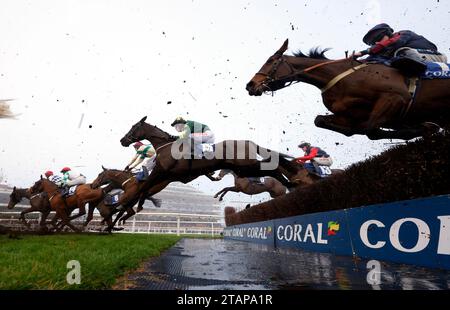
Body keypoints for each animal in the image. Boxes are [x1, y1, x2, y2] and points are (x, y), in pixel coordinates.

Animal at [121, 117, 300, 211]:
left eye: (134, 127)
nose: (123, 140)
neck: (166, 147)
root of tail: (249, 142)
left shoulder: (161, 171)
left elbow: (145, 186)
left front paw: (135, 205)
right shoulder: (167, 175)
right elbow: (146, 187)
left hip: (247, 166)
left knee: (273, 169)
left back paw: (291, 183)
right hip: (243, 169)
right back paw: (291, 183)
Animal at [246, 39, 450, 140]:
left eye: (270, 61)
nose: (250, 85)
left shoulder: (395, 97)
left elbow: (370, 129)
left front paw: (421, 129)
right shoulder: (348, 114)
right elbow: (321, 121)